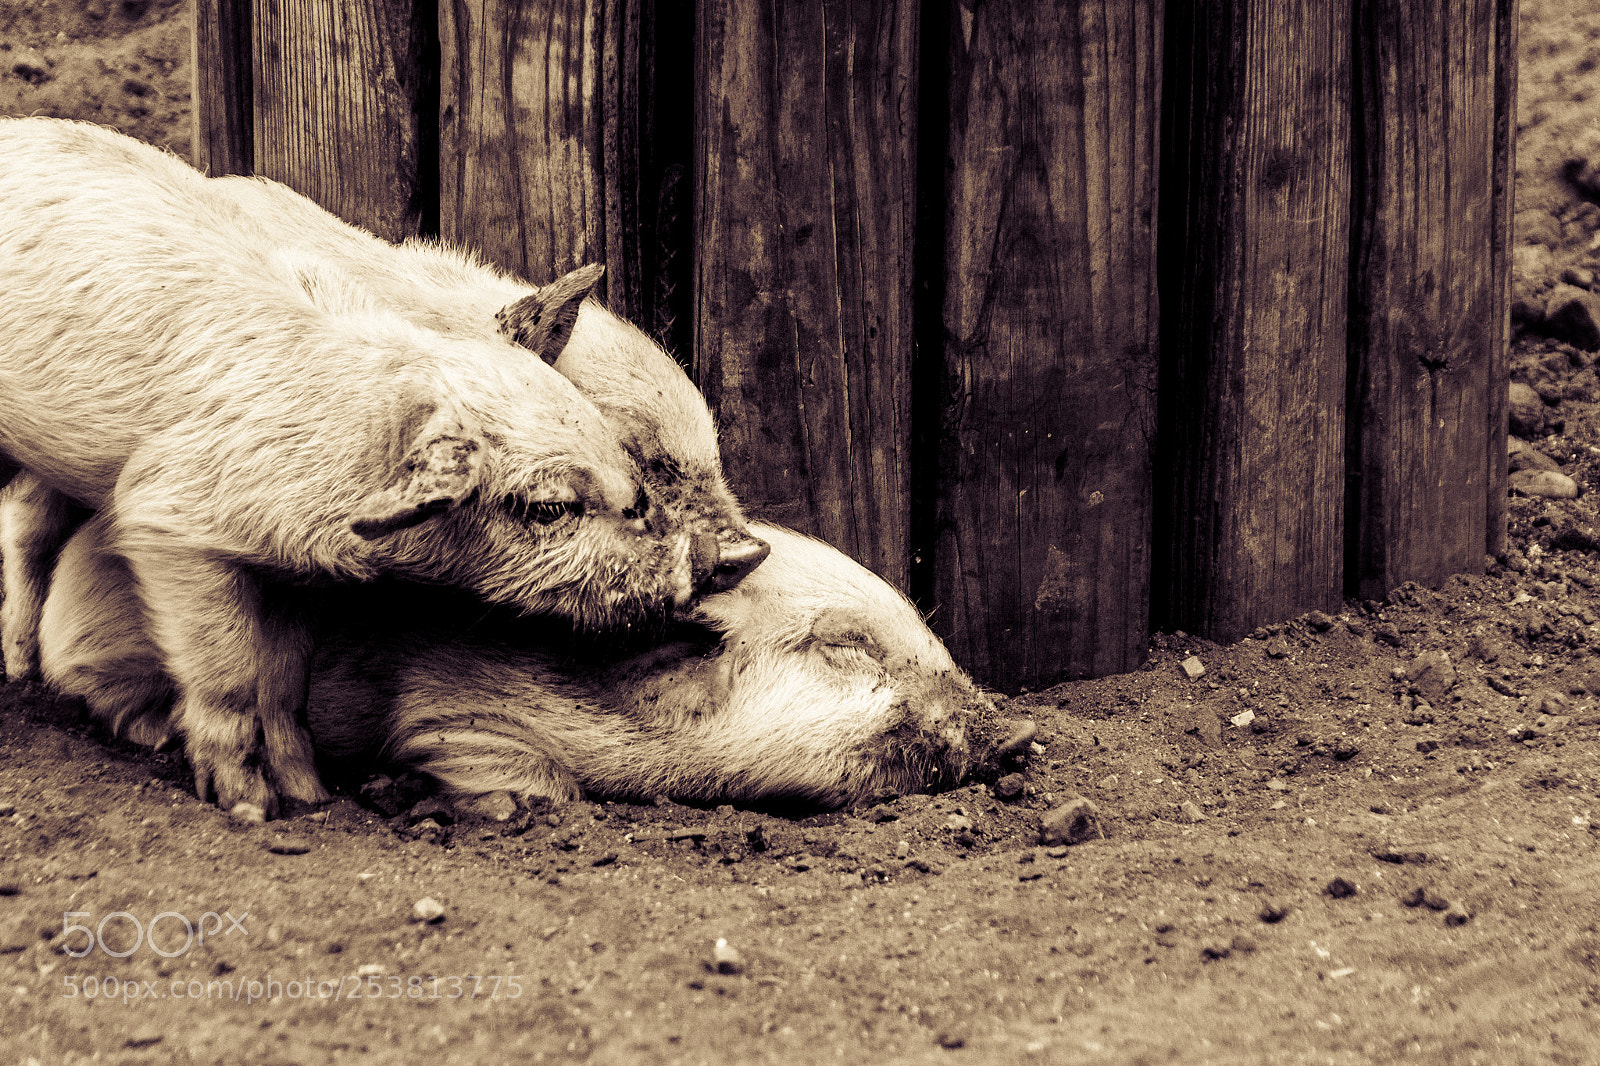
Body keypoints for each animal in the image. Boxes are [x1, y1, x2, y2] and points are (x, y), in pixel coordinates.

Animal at [0, 117, 760, 815]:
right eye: (643, 454)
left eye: (709, 451)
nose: (748, 552)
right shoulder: (184, 516)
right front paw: (255, 809)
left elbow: (286, 679)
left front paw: (311, 799)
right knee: (28, 528)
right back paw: (32, 676)